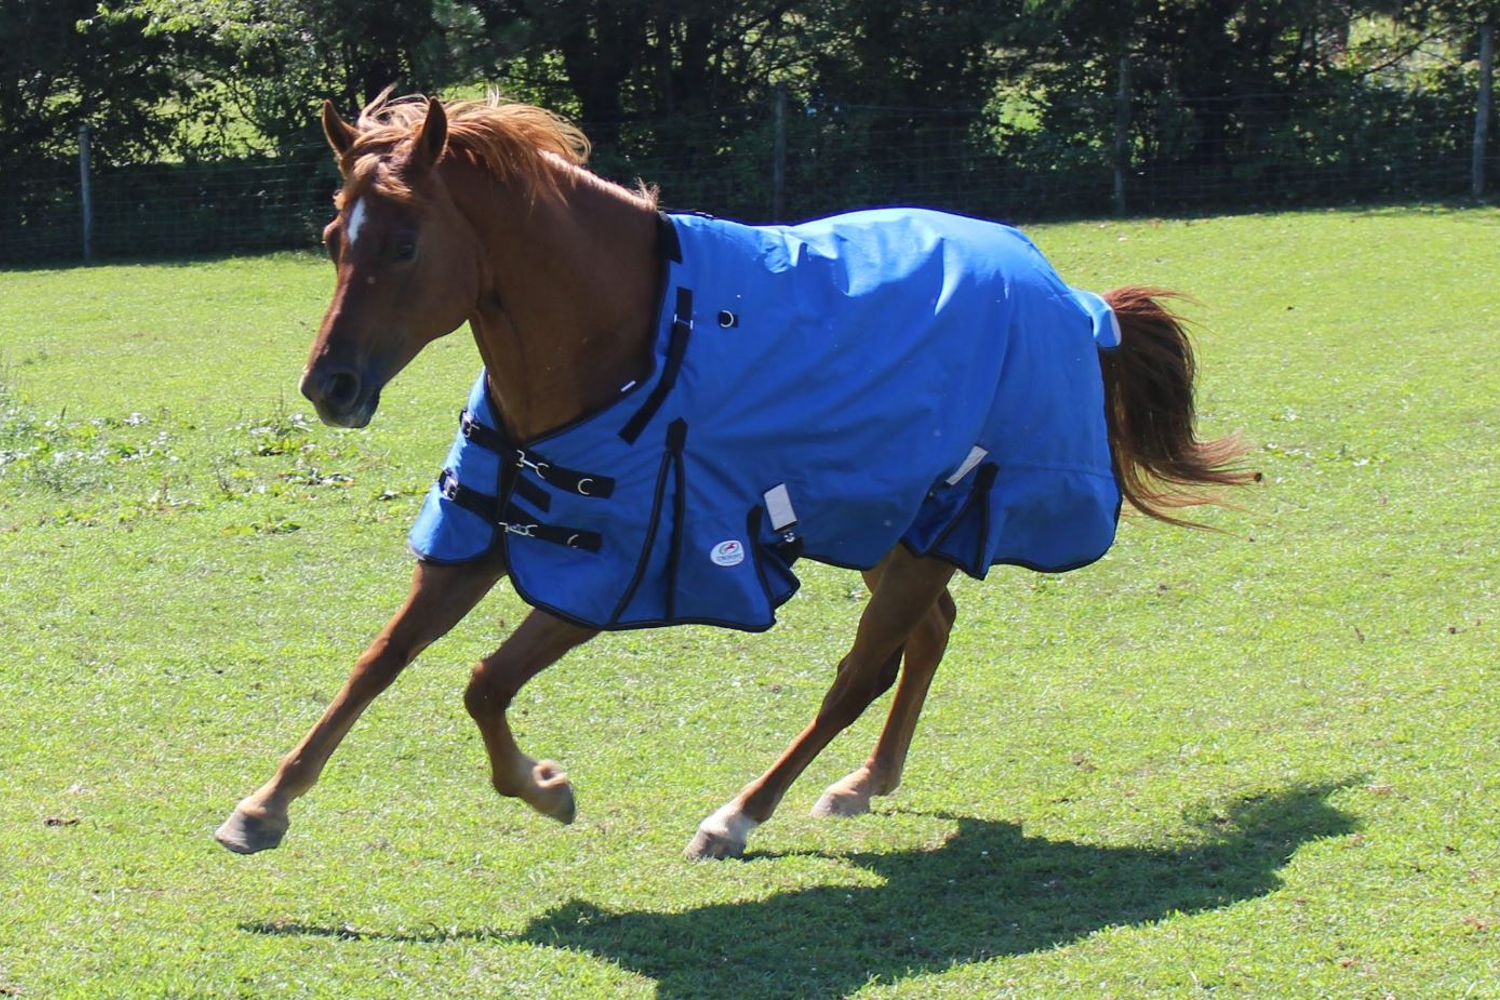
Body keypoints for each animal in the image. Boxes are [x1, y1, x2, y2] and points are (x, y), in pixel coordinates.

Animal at [215, 94, 1252, 861]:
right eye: (330, 237)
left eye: (402, 245)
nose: (329, 387)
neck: (616, 334)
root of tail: (1075, 300)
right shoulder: (487, 533)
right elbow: (379, 662)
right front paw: (264, 806)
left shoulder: (616, 572)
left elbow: (481, 682)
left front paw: (545, 789)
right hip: (881, 524)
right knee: (927, 636)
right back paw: (865, 784)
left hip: (935, 523)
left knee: (862, 673)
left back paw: (739, 814)